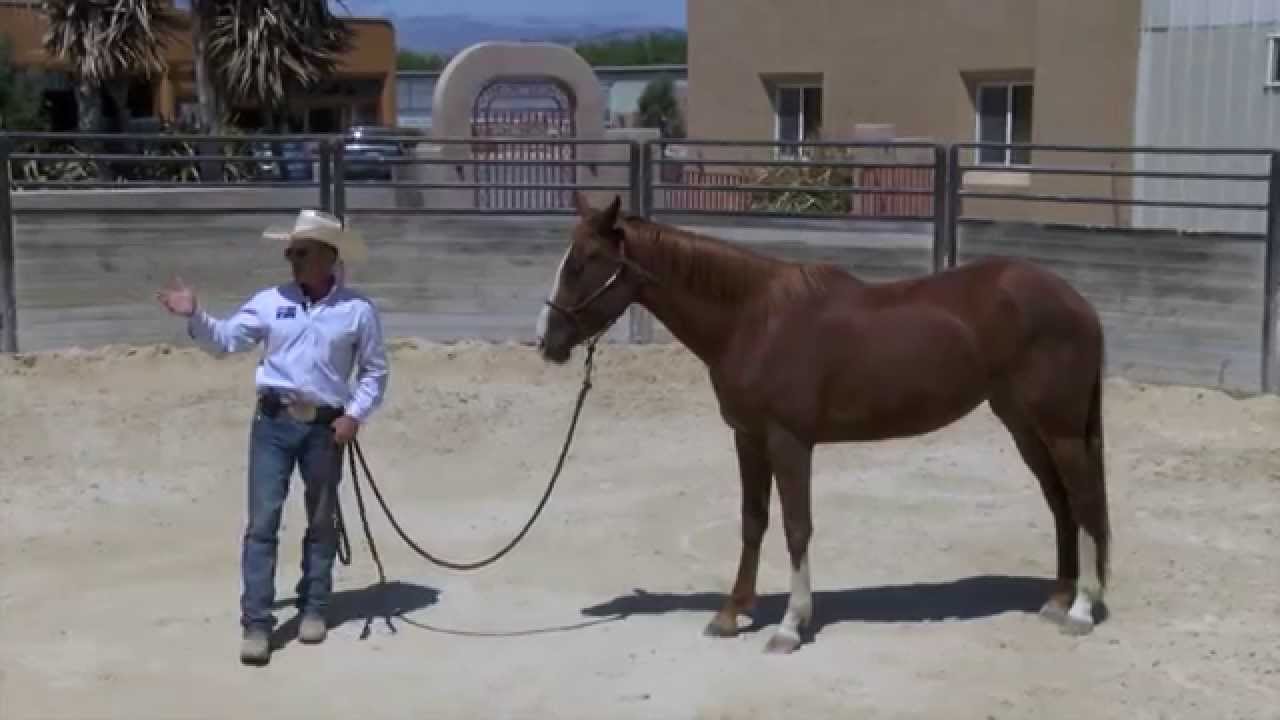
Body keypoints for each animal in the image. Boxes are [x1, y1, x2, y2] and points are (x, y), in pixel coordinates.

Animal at [535, 193, 1111, 654]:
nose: (548, 341)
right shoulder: (748, 437)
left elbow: (796, 526)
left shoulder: (789, 441)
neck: (753, 318)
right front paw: (731, 613)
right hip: (1022, 424)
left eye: (584, 262)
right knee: (1060, 503)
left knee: (1082, 502)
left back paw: (1082, 610)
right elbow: (753, 520)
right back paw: (1058, 599)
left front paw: (790, 626)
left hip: (1059, 429)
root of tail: (1076, 300)